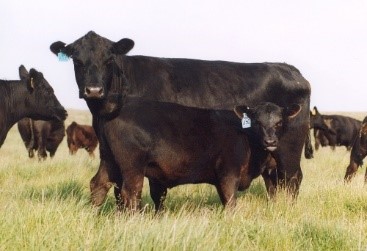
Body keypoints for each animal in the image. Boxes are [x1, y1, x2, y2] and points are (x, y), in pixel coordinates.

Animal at [91, 99, 302, 211]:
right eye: (257, 122)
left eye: (279, 122)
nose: (270, 142)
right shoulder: (228, 172)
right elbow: (230, 201)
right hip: (132, 166)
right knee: (130, 194)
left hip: (109, 160)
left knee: (98, 184)